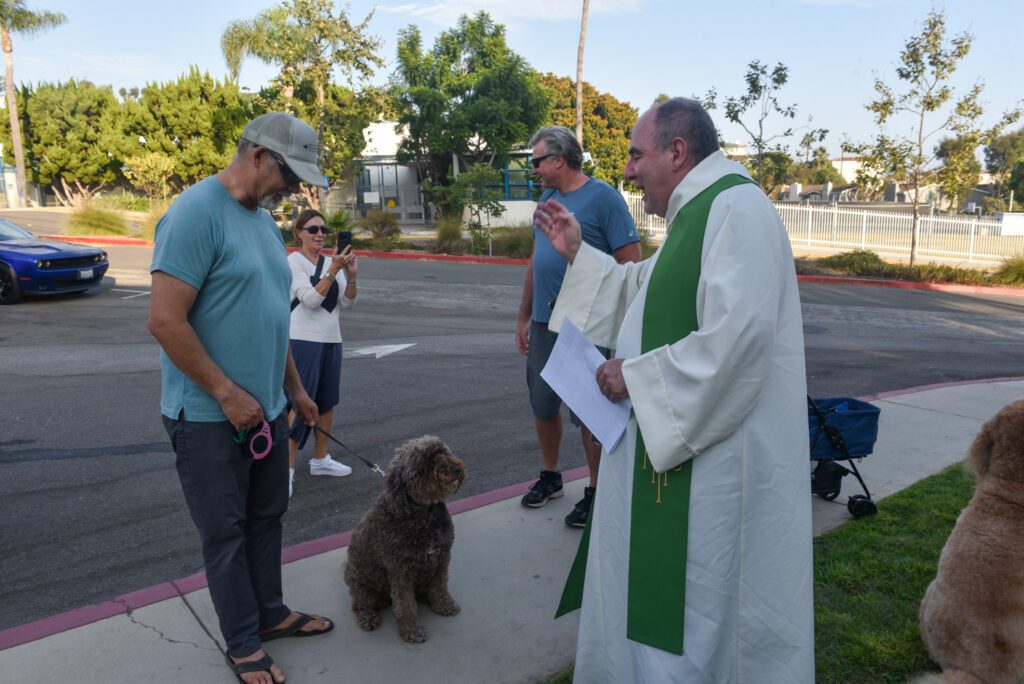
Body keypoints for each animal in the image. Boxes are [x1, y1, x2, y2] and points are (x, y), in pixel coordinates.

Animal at [348, 436, 468, 643]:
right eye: (424, 465)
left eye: (442, 452)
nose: (455, 469)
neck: (422, 515)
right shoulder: (400, 571)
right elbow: (405, 604)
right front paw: (412, 630)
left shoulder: (441, 559)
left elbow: (440, 586)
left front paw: (444, 605)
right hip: (361, 585)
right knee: (359, 605)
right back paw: (368, 617)